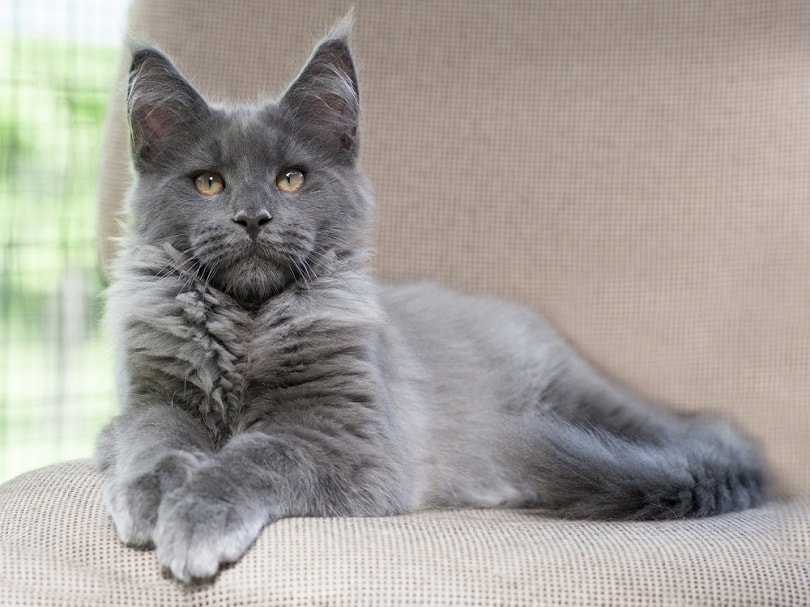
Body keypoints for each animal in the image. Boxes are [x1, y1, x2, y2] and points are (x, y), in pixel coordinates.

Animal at [94, 19, 764, 584]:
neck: (247, 322)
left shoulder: (346, 438)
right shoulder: (153, 396)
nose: (253, 217)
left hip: (581, 403)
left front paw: (195, 517)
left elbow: (256, 458)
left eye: (292, 178)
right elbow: (153, 440)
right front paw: (151, 496)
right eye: (209, 183)